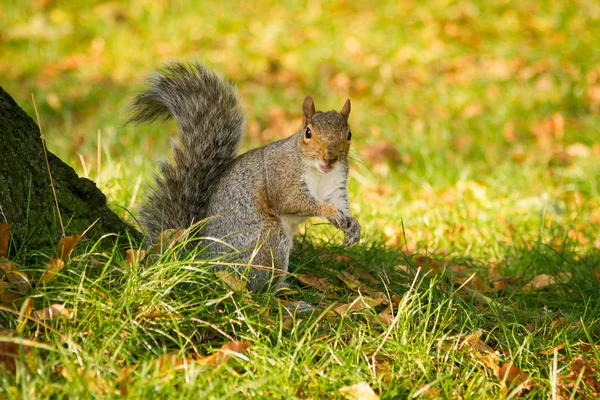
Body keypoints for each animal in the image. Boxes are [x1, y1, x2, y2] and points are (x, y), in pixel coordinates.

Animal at [130, 60, 360, 290]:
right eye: (308, 133)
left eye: (349, 134)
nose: (329, 158)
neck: (319, 172)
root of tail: (207, 263)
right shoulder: (282, 175)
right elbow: (292, 200)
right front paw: (328, 211)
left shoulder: (335, 185)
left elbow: (339, 203)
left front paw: (352, 225)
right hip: (267, 239)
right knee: (254, 284)